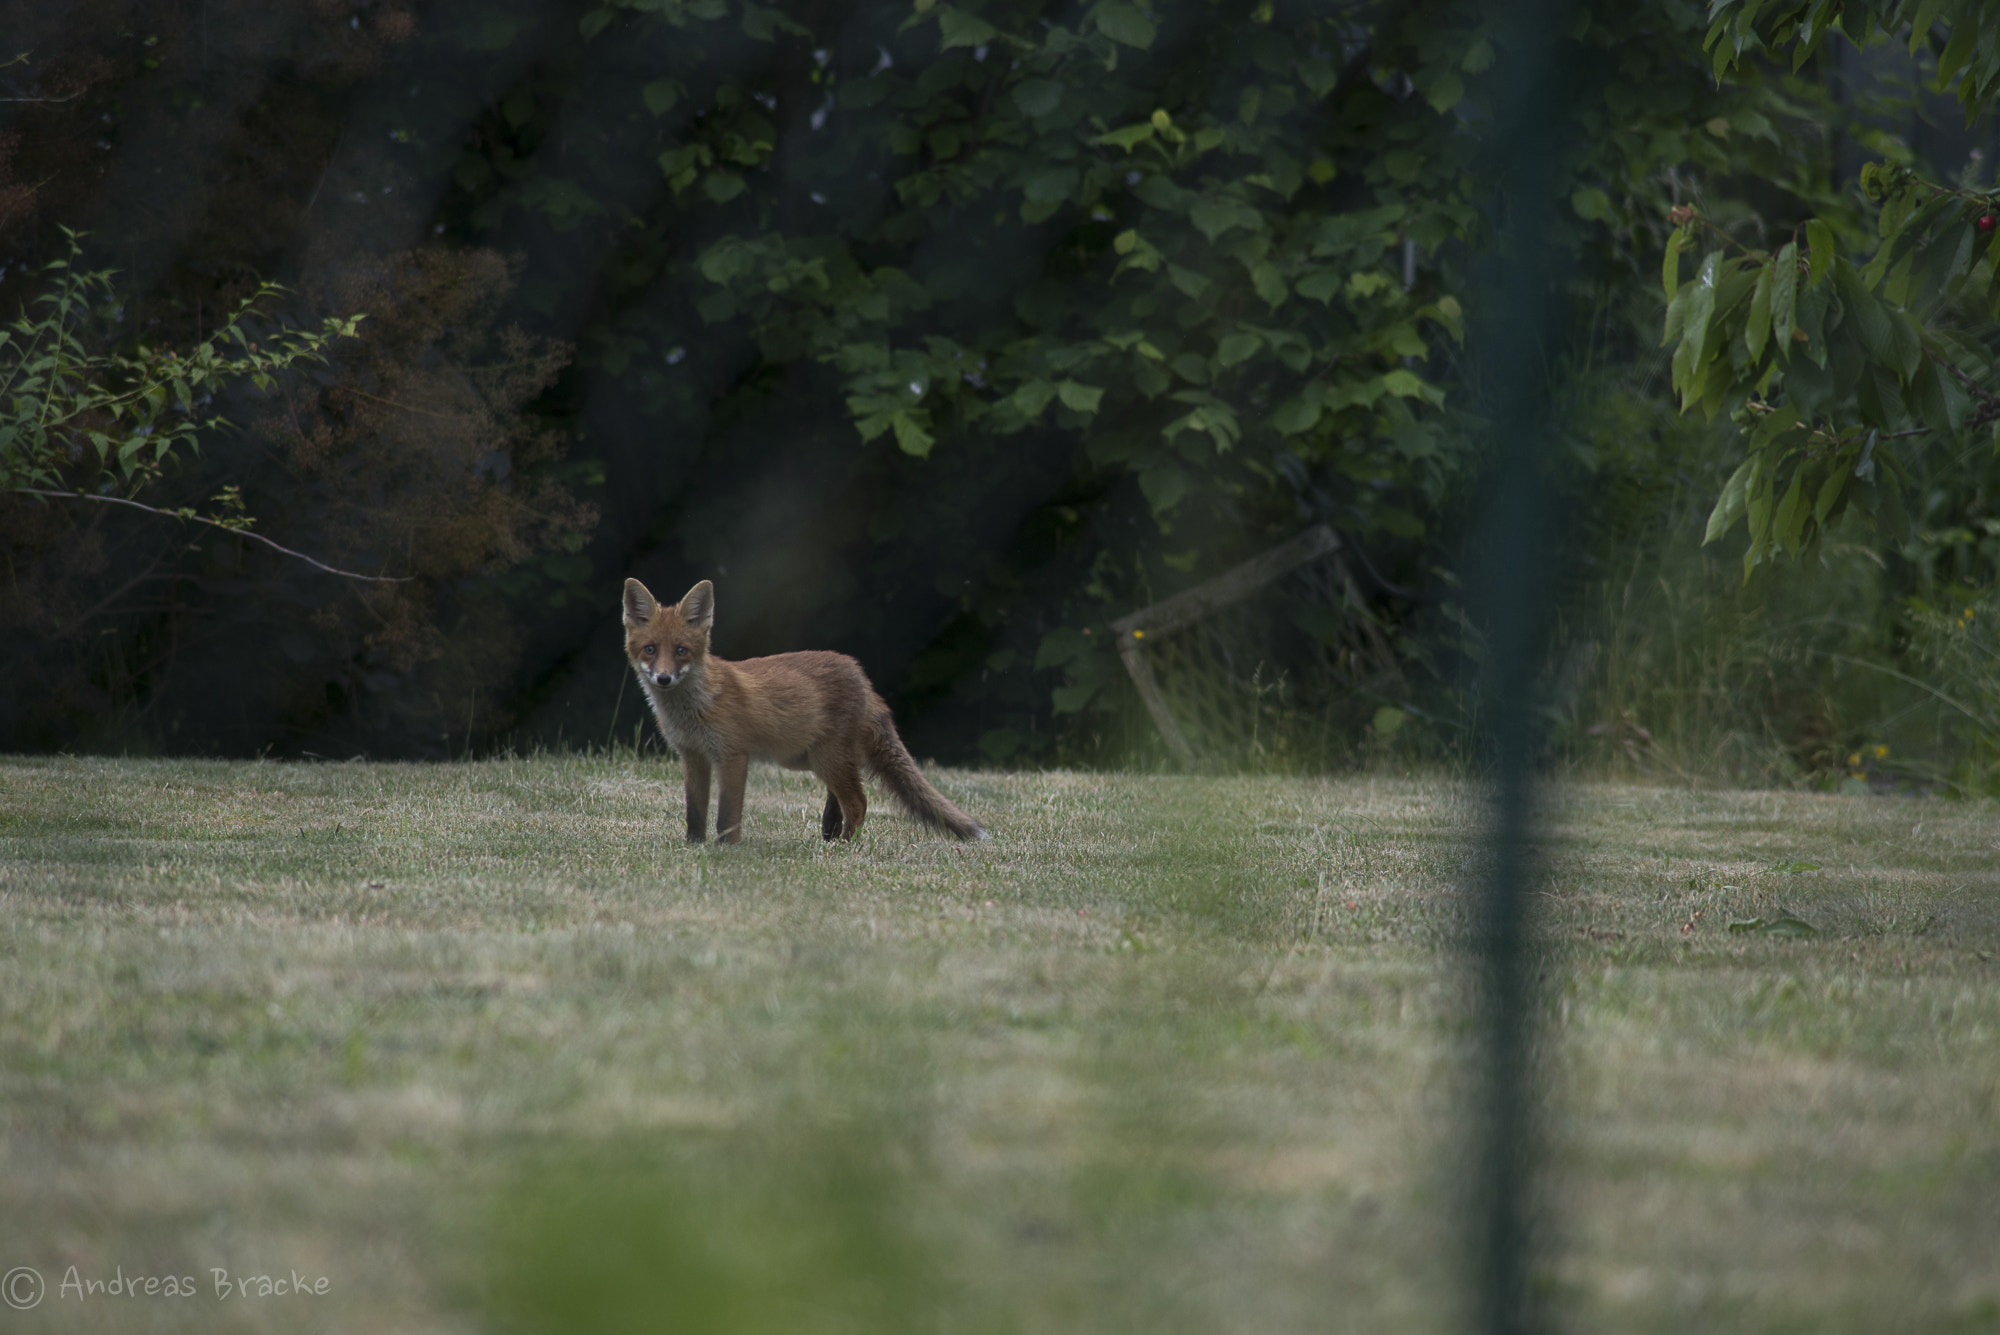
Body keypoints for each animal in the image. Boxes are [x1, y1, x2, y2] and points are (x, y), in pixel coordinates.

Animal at [612, 575, 980, 843]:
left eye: (681, 650)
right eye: (650, 649)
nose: (663, 678)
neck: (694, 710)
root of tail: (861, 675)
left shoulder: (733, 755)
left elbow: (727, 813)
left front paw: (726, 847)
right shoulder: (693, 756)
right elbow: (695, 810)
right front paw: (694, 845)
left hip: (824, 758)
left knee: (859, 802)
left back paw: (844, 846)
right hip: (809, 758)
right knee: (843, 795)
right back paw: (829, 834)